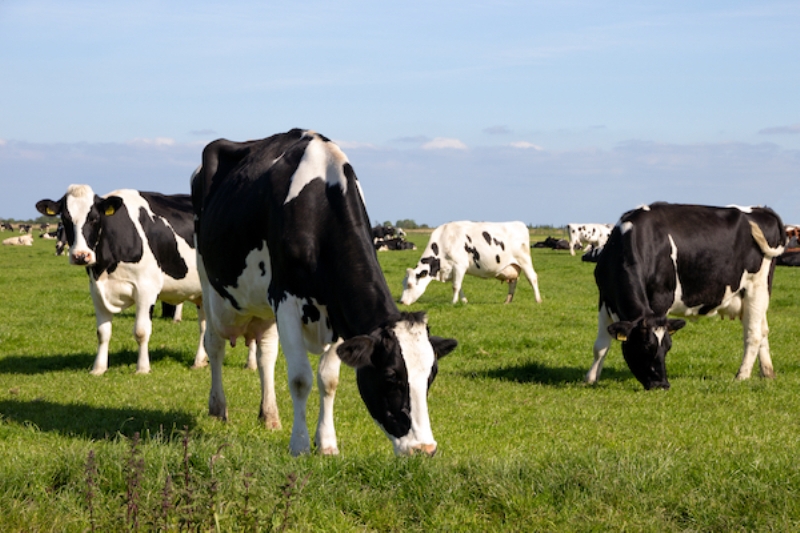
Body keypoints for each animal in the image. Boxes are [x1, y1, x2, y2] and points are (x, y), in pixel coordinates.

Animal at [35, 185, 209, 375]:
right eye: (66, 218)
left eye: (94, 218)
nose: (81, 255)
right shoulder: (96, 290)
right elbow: (102, 332)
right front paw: (98, 369)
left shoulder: (146, 288)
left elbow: (141, 331)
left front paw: (142, 368)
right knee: (205, 326)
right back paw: (199, 361)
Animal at [191, 129, 457, 456]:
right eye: (390, 377)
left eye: (431, 376)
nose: (425, 448)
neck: (318, 206)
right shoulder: (286, 300)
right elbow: (300, 378)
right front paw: (300, 445)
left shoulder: (337, 309)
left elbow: (328, 380)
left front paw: (327, 443)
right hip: (209, 283)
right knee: (214, 343)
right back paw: (218, 407)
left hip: (263, 305)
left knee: (266, 354)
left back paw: (269, 415)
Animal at [400, 221, 542, 305]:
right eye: (403, 284)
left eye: (410, 285)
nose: (401, 302)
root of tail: (519, 223)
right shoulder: (453, 269)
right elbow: (459, 286)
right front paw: (464, 301)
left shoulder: (460, 265)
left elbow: (455, 286)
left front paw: (453, 302)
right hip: (513, 266)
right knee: (513, 281)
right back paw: (507, 301)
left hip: (524, 260)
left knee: (533, 278)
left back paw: (538, 300)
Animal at [586, 202, 785, 390]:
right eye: (645, 346)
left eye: (667, 347)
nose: (662, 385)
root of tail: (761, 209)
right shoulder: (604, 298)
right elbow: (600, 346)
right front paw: (591, 379)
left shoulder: (661, 299)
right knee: (763, 330)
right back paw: (767, 373)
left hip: (757, 287)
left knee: (753, 334)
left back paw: (742, 376)